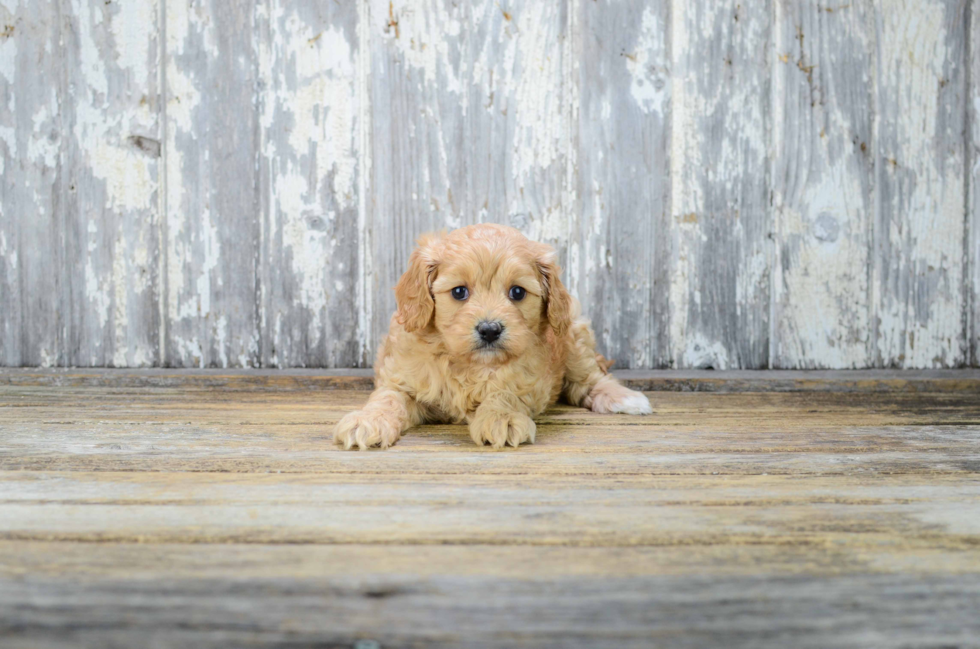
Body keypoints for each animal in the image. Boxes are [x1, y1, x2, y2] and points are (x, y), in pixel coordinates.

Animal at [334, 224, 652, 450]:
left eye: (517, 292)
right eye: (459, 292)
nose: (489, 329)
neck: (470, 364)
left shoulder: (529, 378)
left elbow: (506, 392)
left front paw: (501, 417)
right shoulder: (401, 377)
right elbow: (388, 398)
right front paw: (368, 420)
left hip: (574, 333)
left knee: (588, 380)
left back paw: (624, 398)